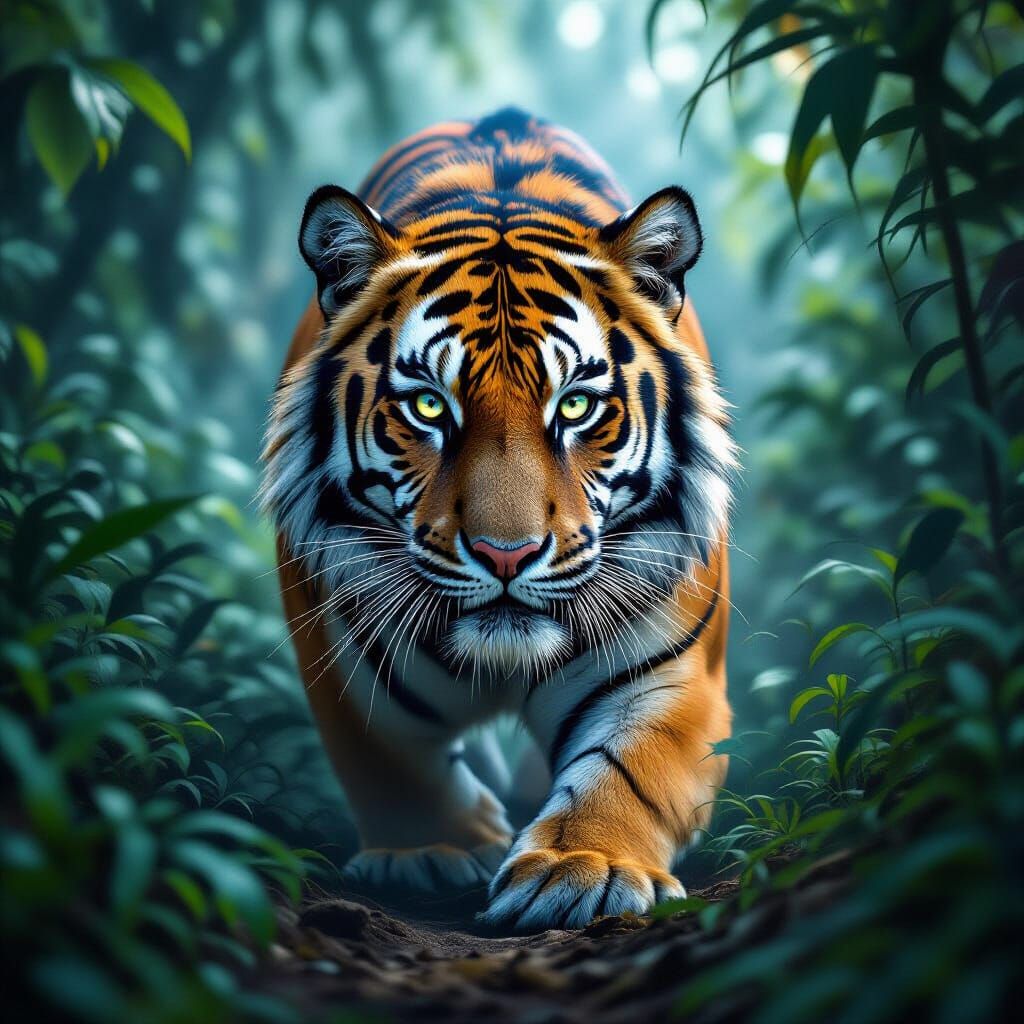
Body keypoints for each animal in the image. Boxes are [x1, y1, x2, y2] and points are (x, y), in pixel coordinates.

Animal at [262, 107, 735, 931]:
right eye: (428, 406)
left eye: (575, 407)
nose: (506, 554)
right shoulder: (335, 639)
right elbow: (384, 755)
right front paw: (430, 851)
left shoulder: (675, 669)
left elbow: (631, 765)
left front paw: (584, 868)